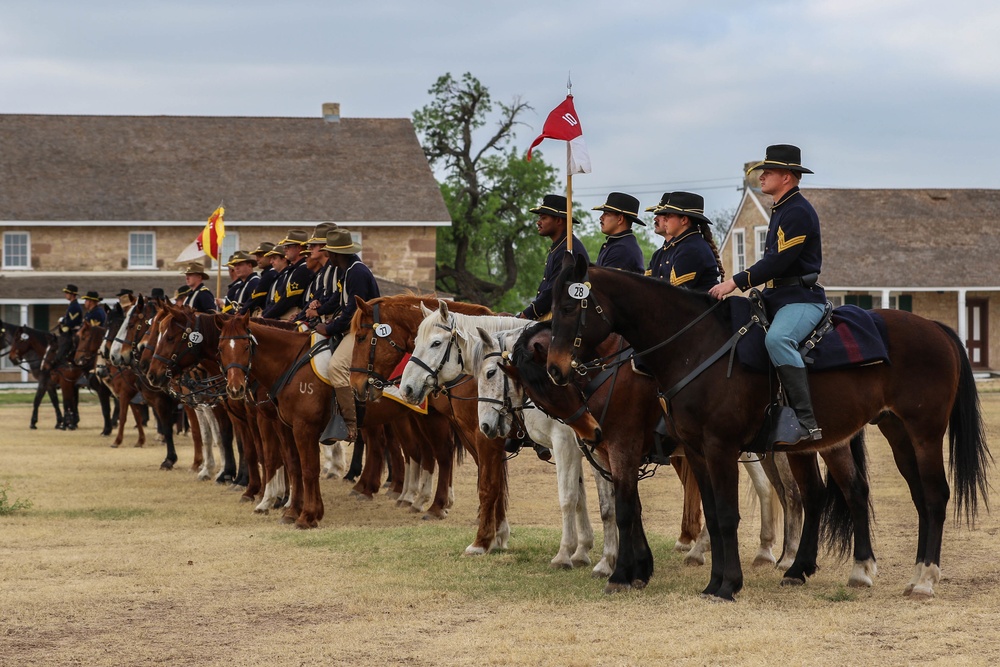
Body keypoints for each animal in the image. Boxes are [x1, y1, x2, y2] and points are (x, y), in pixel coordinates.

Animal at [548, 258, 992, 604]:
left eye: (570, 307)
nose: (556, 368)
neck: (695, 346)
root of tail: (934, 327)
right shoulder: (695, 451)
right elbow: (711, 515)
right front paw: (712, 582)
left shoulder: (714, 447)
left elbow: (723, 514)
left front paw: (727, 585)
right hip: (893, 433)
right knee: (889, 496)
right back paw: (862, 571)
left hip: (923, 434)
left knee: (933, 496)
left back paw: (924, 580)